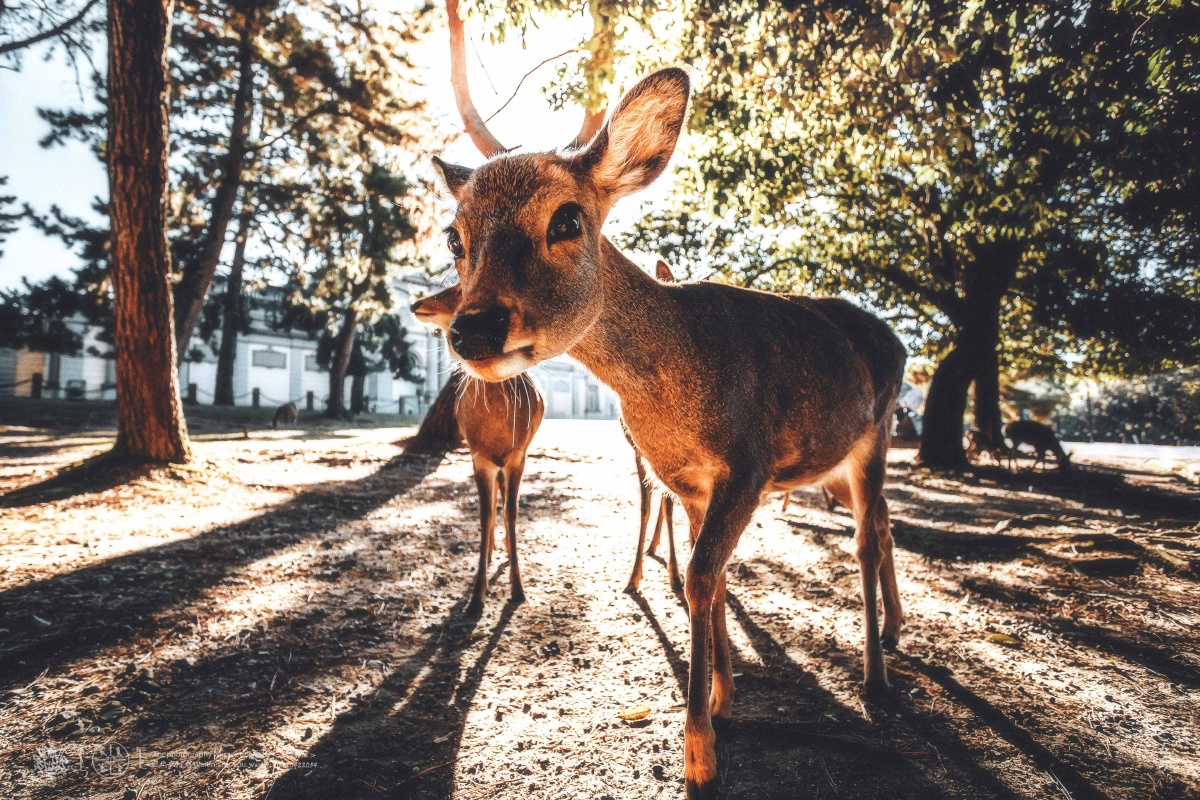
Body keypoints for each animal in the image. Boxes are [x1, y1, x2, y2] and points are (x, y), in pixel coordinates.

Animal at [410, 284, 546, 613]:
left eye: (459, 288)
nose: (416, 303)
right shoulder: (478, 456)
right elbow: (484, 515)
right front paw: (476, 596)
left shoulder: (518, 456)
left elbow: (512, 512)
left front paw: (518, 589)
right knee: (493, 501)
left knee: (504, 501)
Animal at [433, 63, 906, 798]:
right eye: (454, 237)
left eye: (567, 218)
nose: (472, 329)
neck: (674, 398)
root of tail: (900, 343)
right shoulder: (684, 480)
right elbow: (704, 577)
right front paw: (725, 698)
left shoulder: (749, 462)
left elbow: (704, 576)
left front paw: (701, 753)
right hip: (841, 461)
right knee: (883, 524)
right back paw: (894, 633)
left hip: (876, 430)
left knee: (865, 538)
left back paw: (875, 678)